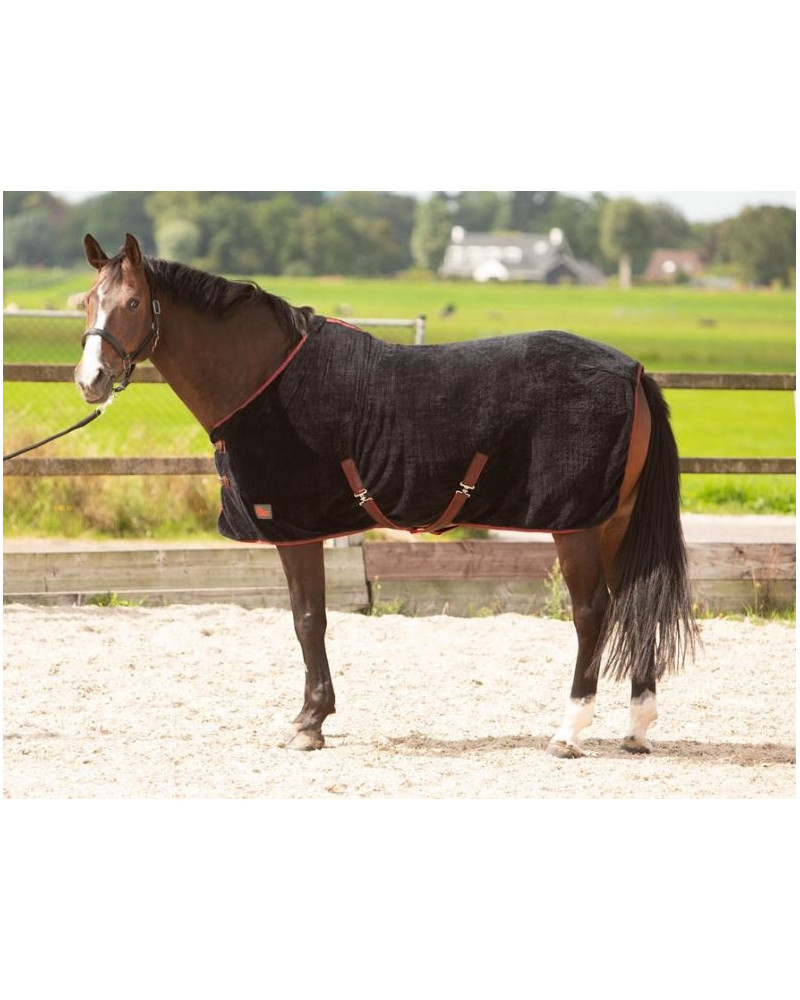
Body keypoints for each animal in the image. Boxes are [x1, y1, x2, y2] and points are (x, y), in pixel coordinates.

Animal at [74, 233, 697, 757]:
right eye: (87, 302)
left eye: (133, 302)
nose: (90, 381)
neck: (264, 380)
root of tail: (633, 371)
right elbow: (311, 618)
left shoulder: (295, 529)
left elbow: (308, 619)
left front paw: (309, 723)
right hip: (615, 519)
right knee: (636, 601)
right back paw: (637, 729)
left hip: (577, 524)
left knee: (594, 613)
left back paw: (568, 731)